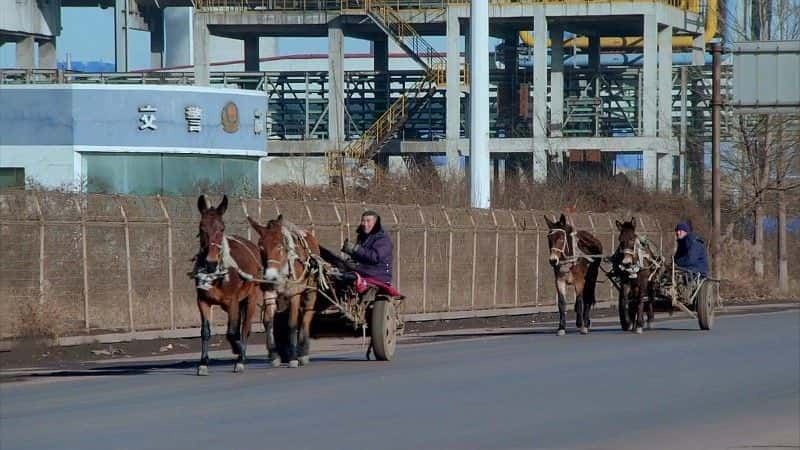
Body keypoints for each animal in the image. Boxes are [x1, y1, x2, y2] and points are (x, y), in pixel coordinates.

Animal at [192, 195, 264, 374]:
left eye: (222, 228)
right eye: (202, 228)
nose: (210, 262)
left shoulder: (233, 300)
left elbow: (232, 332)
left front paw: (239, 353)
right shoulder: (202, 300)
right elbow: (205, 331)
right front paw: (203, 363)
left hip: (251, 297)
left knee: (245, 328)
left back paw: (240, 355)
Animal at [245, 216, 320, 368]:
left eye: (280, 246)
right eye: (261, 247)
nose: (270, 277)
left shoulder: (294, 294)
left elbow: (292, 323)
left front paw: (293, 357)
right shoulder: (269, 293)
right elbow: (268, 321)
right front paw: (274, 355)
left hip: (310, 291)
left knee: (306, 316)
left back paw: (303, 352)